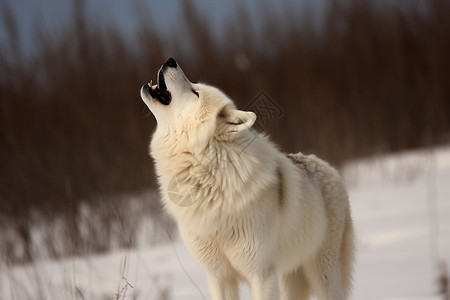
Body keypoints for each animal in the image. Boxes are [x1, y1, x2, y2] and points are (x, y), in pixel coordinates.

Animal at [141, 57, 356, 298]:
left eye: (195, 92)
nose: (171, 60)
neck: (209, 180)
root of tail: (328, 166)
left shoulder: (261, 275)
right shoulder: (218, 276)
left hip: (323, 276)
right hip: (288, 276)